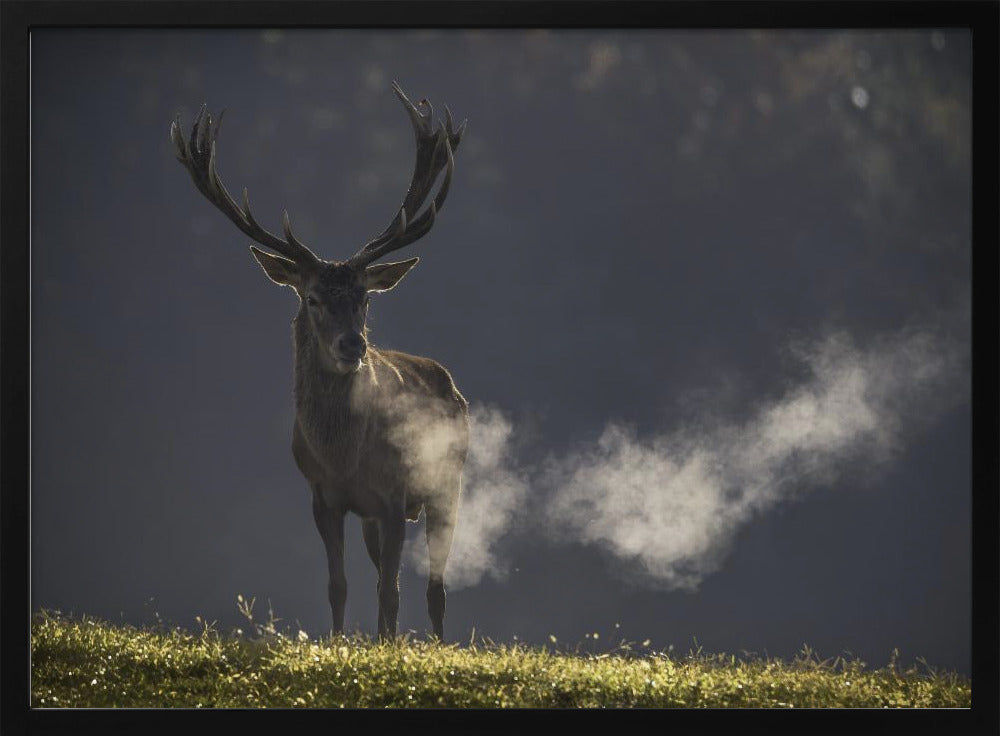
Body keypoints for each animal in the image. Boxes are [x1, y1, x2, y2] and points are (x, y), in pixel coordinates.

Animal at [170, 83, 469, 641]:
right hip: (378, 515)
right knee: (390, 577)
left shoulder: (394, 496)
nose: (353, 346)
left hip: (447, 481)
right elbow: (341, 585)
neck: (343, 455)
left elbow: (392, 592)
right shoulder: (323, 496)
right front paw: (339, 644)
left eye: (365, 299)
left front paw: (388, 649)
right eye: (311, 298)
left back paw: (436, 644)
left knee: (435, 587)